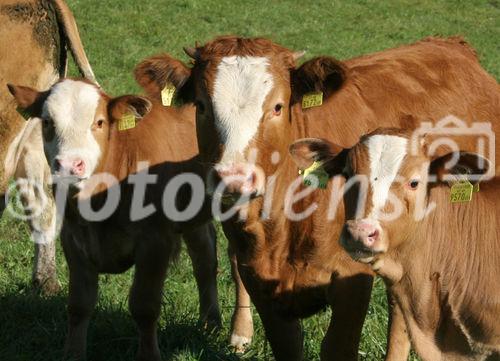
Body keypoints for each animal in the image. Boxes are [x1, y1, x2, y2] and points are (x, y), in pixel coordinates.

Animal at [6, 79, 222, 360]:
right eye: (46, 122)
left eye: (99, 122)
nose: (70, 165)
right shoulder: (73, 238)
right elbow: (79, 305)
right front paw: (73, 354)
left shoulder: (155, 242)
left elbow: (145, 307)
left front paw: (149, 356)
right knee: (204, 258)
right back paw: (210, 323)